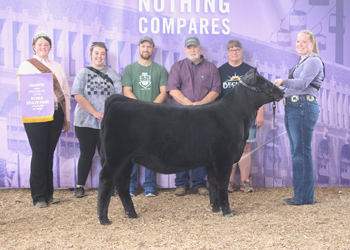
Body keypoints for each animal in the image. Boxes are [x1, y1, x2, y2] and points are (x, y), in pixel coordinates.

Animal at [97, 67, 284, 226]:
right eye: (264, 82)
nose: (282, 91)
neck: (238, 116)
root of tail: (119, 100)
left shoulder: (211, 160)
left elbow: (213, 184)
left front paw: (215, 208)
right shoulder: (224, 157)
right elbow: (222, 183)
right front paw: (227, 211)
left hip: (127, 160)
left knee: (121, 183)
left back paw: (132, 214)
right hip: (116, 156)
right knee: (106, 180)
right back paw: (103, 218)